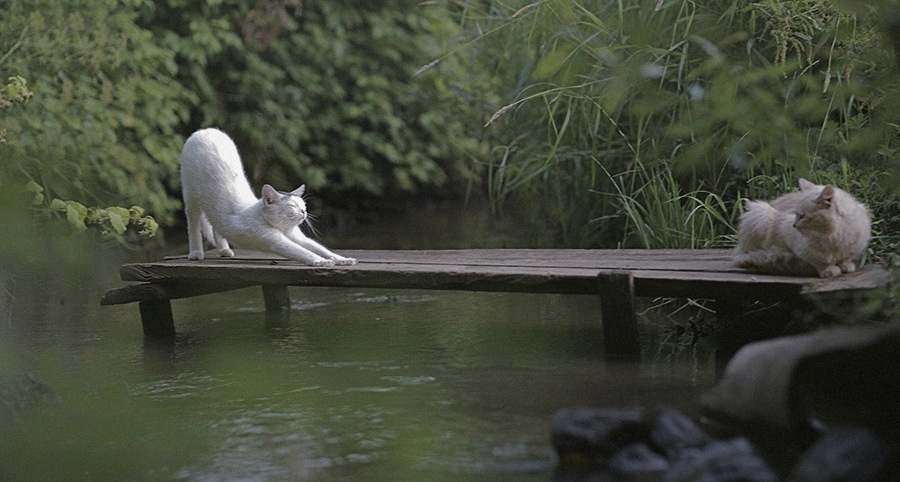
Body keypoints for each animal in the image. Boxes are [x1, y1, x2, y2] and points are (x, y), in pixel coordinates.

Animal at [179, 126, 356, 268]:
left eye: (303, 206)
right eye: (292, 206)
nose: (304, 212)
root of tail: (204, 130)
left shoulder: (297, 237)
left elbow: (321, 248)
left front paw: (342, 259)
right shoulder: (275, 241)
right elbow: (302, 252)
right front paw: (321, 261)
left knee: (216, 226)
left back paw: (224, 250)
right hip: (190, 197)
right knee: (193, 227)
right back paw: (196, 253)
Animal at [732, 179, 872, 276]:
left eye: (802, 216)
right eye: (795, 214)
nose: (794, 225)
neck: (832, 237)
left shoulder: (856, 244)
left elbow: (846, 257)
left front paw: (845, 265)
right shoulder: (796, 244)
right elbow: (819, 261)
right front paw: (828, 270)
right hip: (759, 214)